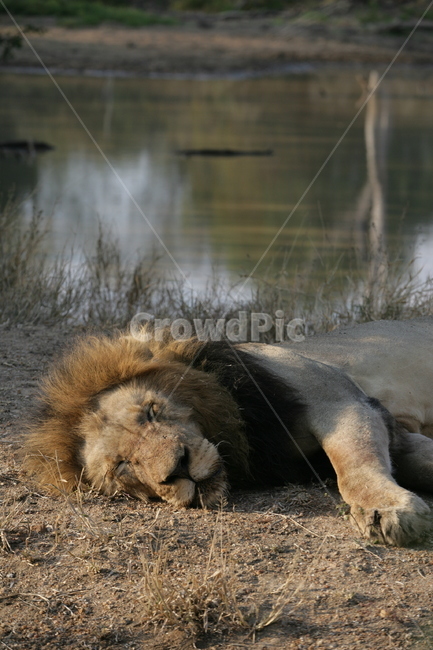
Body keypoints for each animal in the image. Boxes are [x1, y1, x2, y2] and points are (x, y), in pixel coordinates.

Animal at [24, 318, 433, 546]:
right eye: (123, 466)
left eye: (151, 412)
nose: (179, 468)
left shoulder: (338, 400)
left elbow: (354, 463)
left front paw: (387, 509)